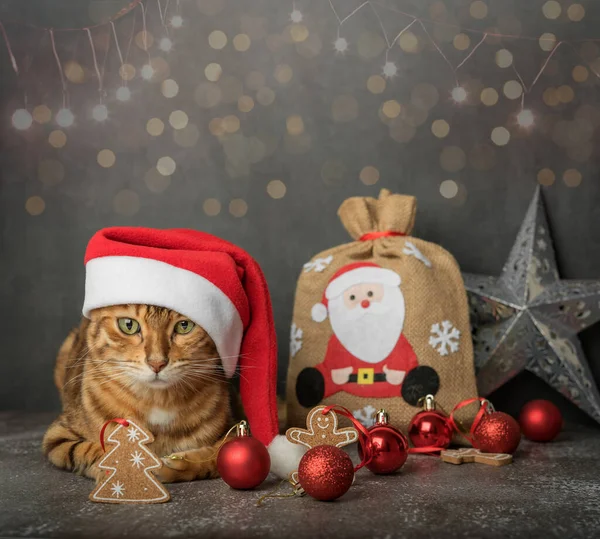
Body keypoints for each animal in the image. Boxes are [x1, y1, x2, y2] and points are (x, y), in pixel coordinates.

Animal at [41, 306, 232, 484]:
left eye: (184, 325)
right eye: (128, 325)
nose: (157, 363)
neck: (159, 401)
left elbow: (218, 454)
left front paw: (176, 464)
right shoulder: (57, 436)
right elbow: (89, 450)